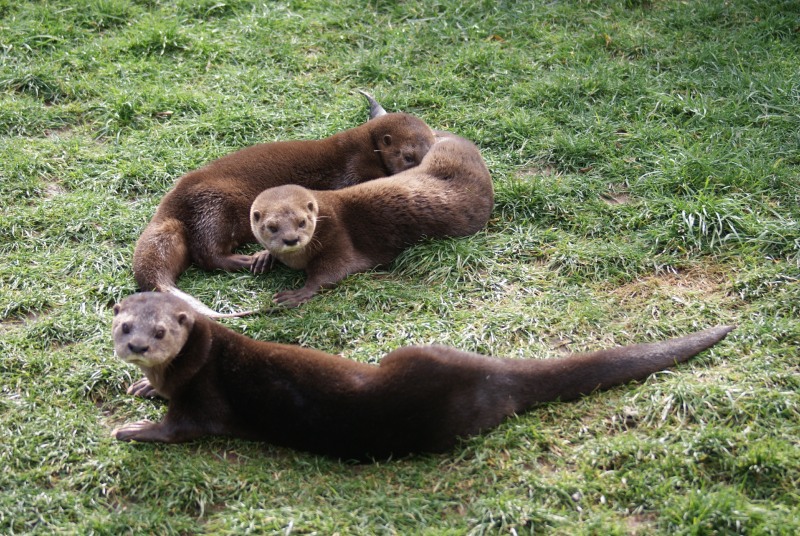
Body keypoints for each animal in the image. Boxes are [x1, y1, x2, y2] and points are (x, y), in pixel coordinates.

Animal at [111, 292, 734, 461]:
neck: (195, 359)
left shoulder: (203, 395)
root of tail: (490, 371)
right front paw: (143, 385)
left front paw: (133, 428)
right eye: (122, 325)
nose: (137, 346)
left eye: (161, 332)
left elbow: (185, 428)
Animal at [132, 93, 435, 317]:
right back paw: (252, 259)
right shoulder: (353, 170)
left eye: (432, 149)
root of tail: (169, 205)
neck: (365, 147)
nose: (422, 169)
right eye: (408, 156)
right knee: (207, 254)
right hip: (214, 204)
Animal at [249, 132, 494, 307]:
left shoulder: (338, 238)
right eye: (272, 227)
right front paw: (263, 256)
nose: (291, 240)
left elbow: (330, 273)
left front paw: (299, 293)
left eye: (302, 222)